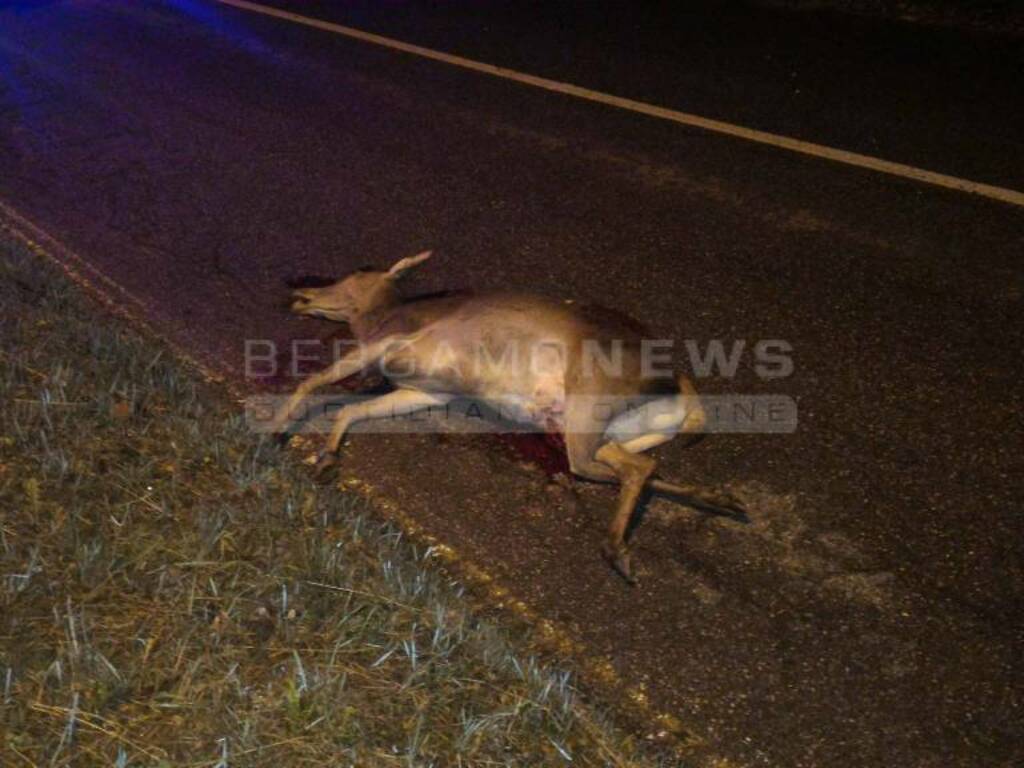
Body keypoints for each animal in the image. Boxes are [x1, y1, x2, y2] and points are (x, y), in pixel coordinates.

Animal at [272, 252, 745, 581]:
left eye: (359, 270)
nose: (299, 296)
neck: (379, 317)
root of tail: (681, 391)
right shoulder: (427, 391)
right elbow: (354, 409)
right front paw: (327, 458)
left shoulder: (384, 344)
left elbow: (317, 380)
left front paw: (278, 430)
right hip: (605, 430)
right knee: (638, 467)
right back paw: (719, 500)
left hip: (588, 403)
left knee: (628, 468)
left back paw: (617, 551)